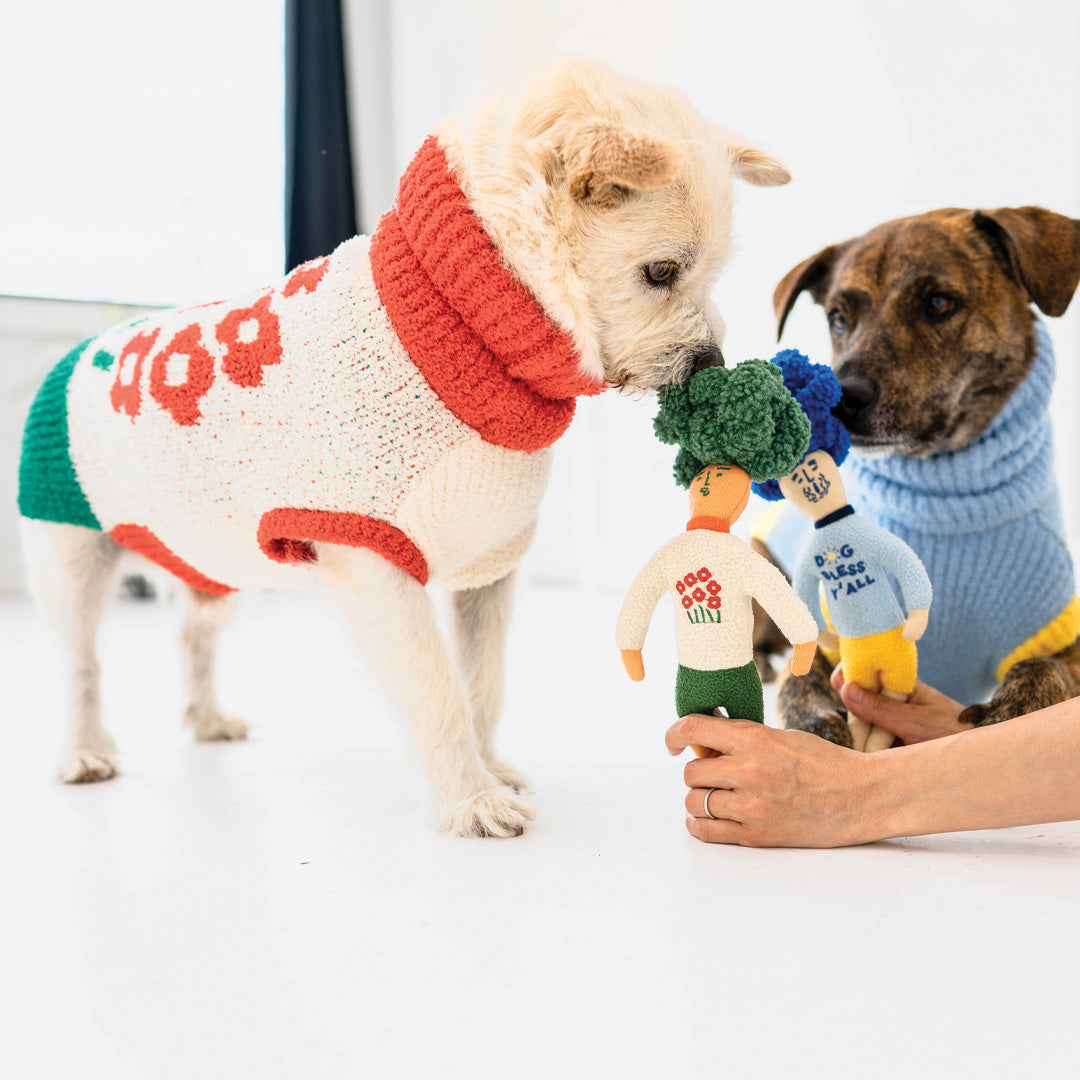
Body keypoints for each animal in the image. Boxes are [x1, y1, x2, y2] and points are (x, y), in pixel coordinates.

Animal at [19, 56, 794, 833]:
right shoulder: (373, 564)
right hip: (73, 559)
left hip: (213, 557)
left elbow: (483, 683)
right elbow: (437, 690)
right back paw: (84, 751)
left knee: (192, 633)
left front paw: (492, 772)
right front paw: (472, 800)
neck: (462, 323)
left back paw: (206, 720)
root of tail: (77, 351)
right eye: (661, 272)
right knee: (80, 663)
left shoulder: (488, 569)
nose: (712, 364)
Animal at [756, 204, 1080, 743]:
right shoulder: (830, 631)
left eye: (938, 303)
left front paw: (1013, 707)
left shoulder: (1055, 633)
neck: (944, 496)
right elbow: (799, 680)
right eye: (838, 317)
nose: (843, 395)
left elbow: (1045, 667)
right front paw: (815, 725)